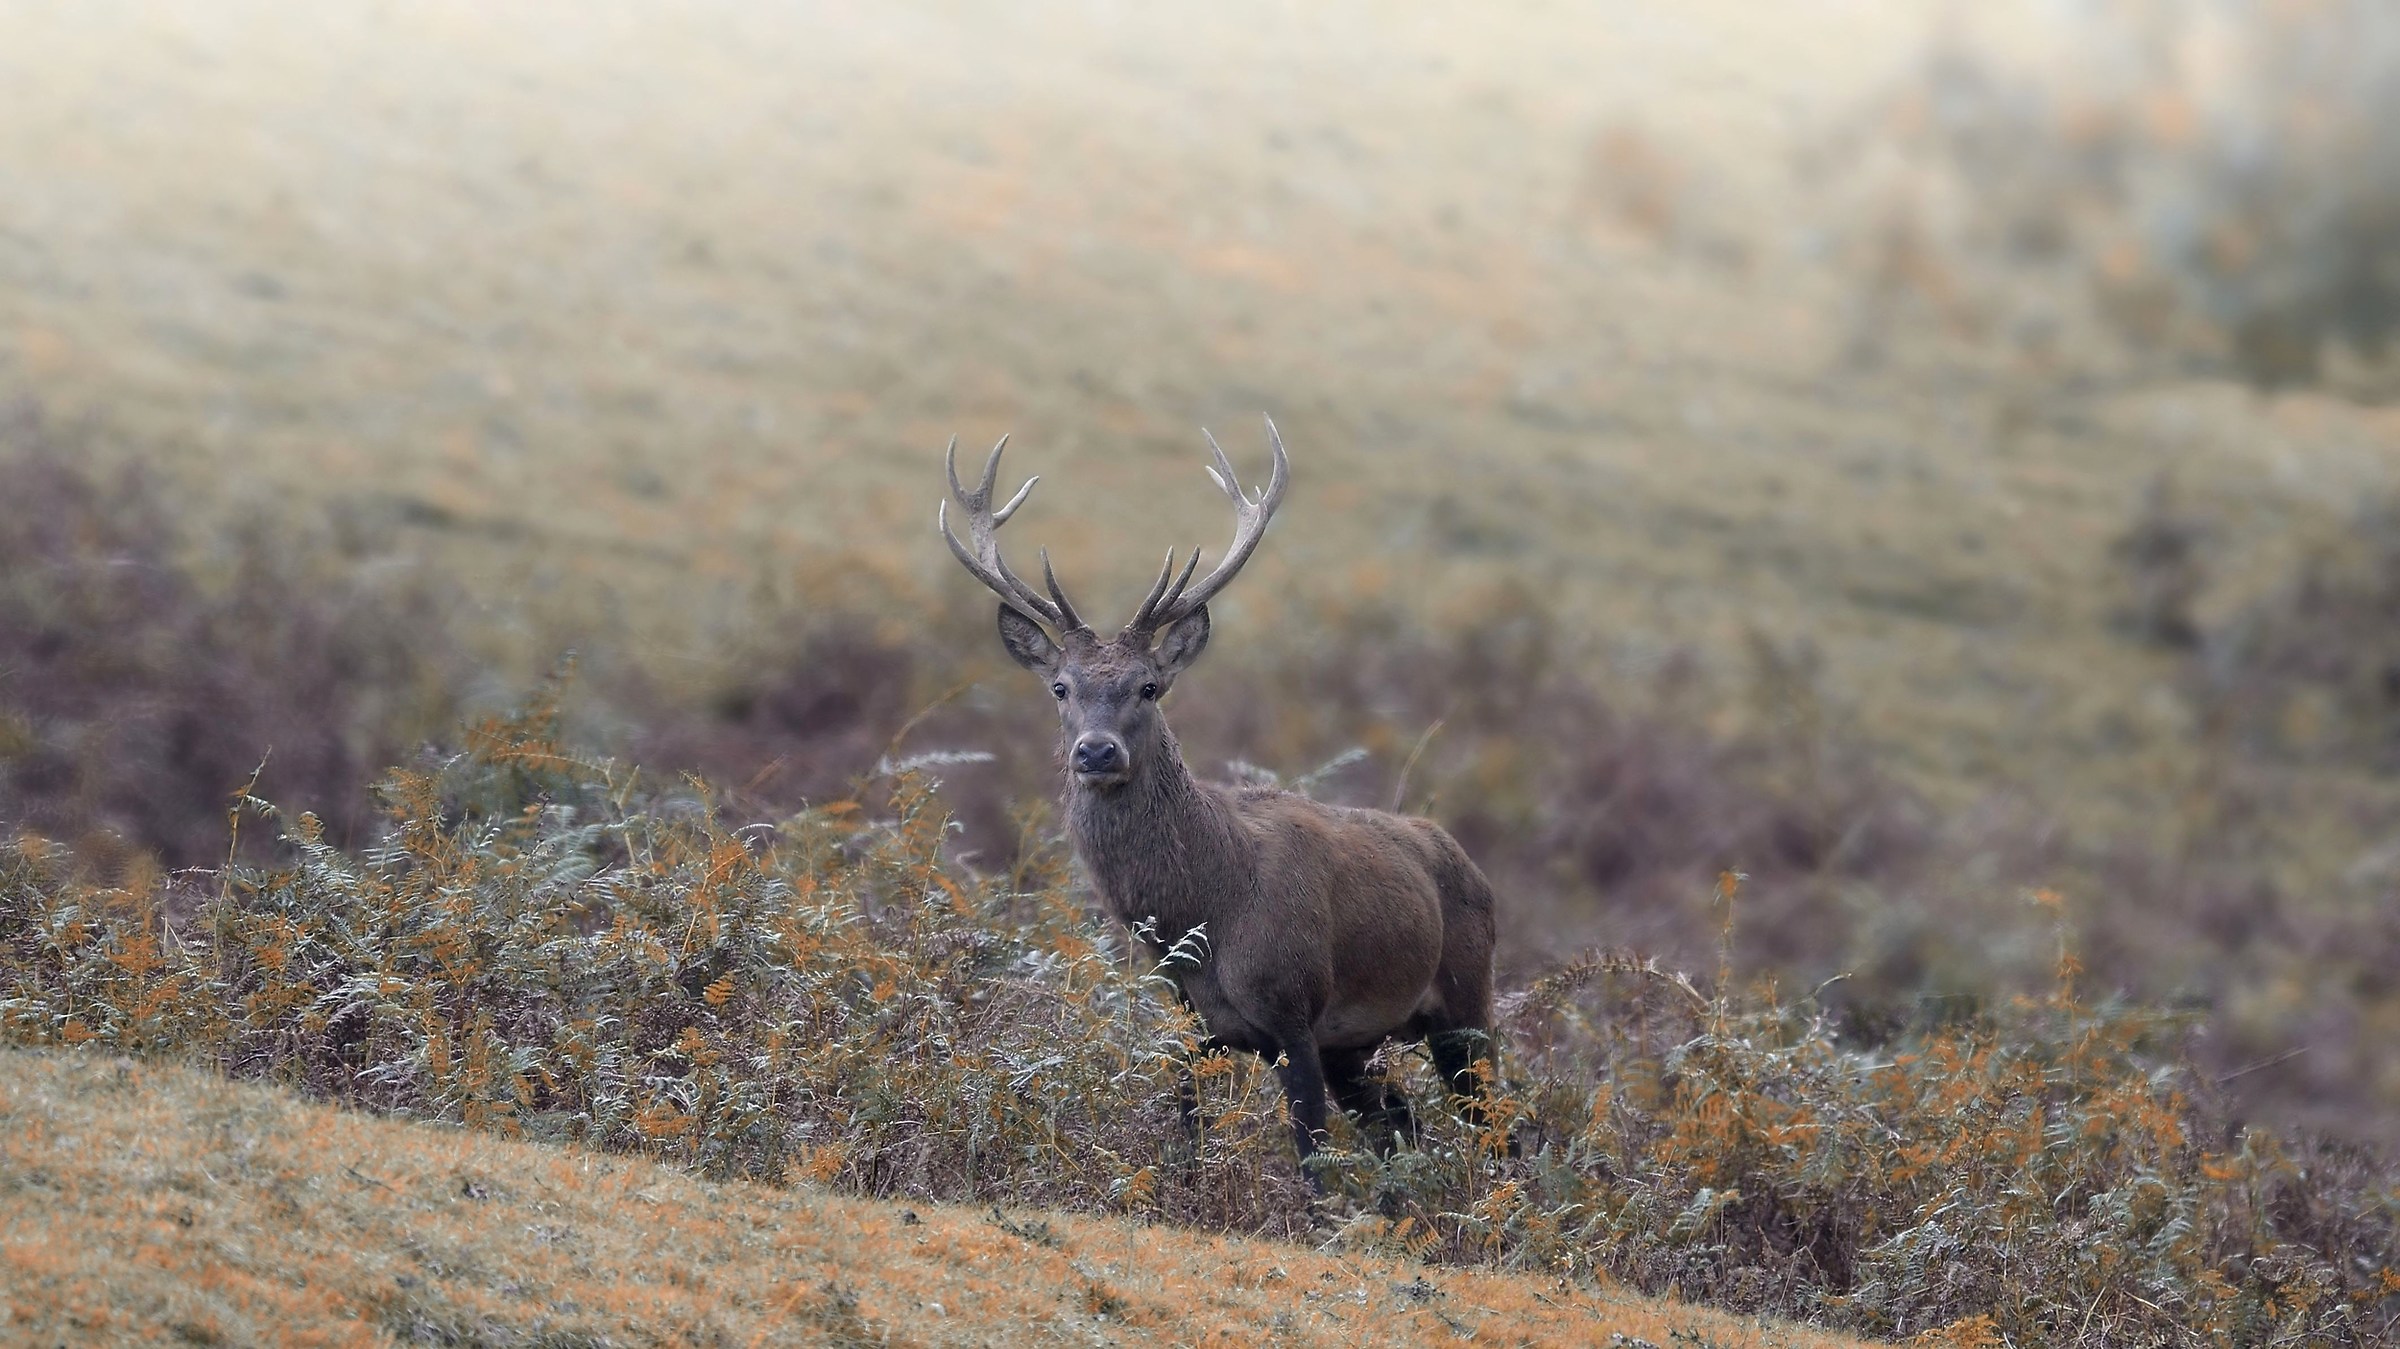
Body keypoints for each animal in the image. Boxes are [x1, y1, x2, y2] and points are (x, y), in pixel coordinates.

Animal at [937, 417, 1499, 1173]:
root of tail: (1472, 866)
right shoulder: (1189, 1022)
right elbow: (1186, 1134)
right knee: (1399, 1119)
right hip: (1361, 1042)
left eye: (1149, 686)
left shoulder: (1294, 1010)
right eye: (1060, 687)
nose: (1096, 751)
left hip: (1467, 999)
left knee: (1503, 1124)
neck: (1206, 910)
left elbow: (1311, 1160)